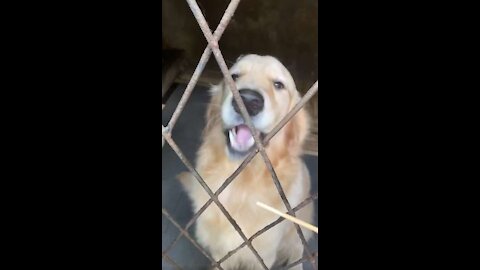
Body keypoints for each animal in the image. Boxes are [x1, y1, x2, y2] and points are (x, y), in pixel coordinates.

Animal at [178, 54, 314, 270]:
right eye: (234, 76)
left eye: (278, 84)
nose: (248, 101)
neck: (240, 183)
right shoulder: (220, 251)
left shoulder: (262, 255)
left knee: (297, 249)